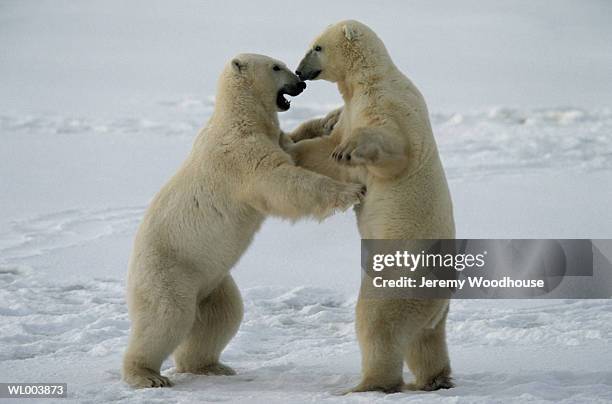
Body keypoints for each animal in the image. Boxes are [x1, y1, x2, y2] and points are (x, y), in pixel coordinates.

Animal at [122, 53, 366, 388]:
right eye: (277, 67)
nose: (300, 83)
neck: (238, 117)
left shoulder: (265, 137)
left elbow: (291, 145)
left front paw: (331, 117)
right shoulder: (240, 154)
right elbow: (283, 179)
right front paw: (351, 191)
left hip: (212, 281)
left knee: (221, 316)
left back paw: (211, 366)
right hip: (171, 271)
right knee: (165, 318)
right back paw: (147, 375)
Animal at [286, 20, 454, 392]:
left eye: (317, 47)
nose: (300, 72)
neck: (369, 79)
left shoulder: (387, 106)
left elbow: (387, 149)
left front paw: (346, 149)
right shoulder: (353, 110)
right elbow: (326, 146)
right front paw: (308, 130)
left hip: (397, 278)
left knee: (377, 323)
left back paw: (367, 384)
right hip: (433, 310)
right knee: (427, 339)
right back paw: (434, 379)